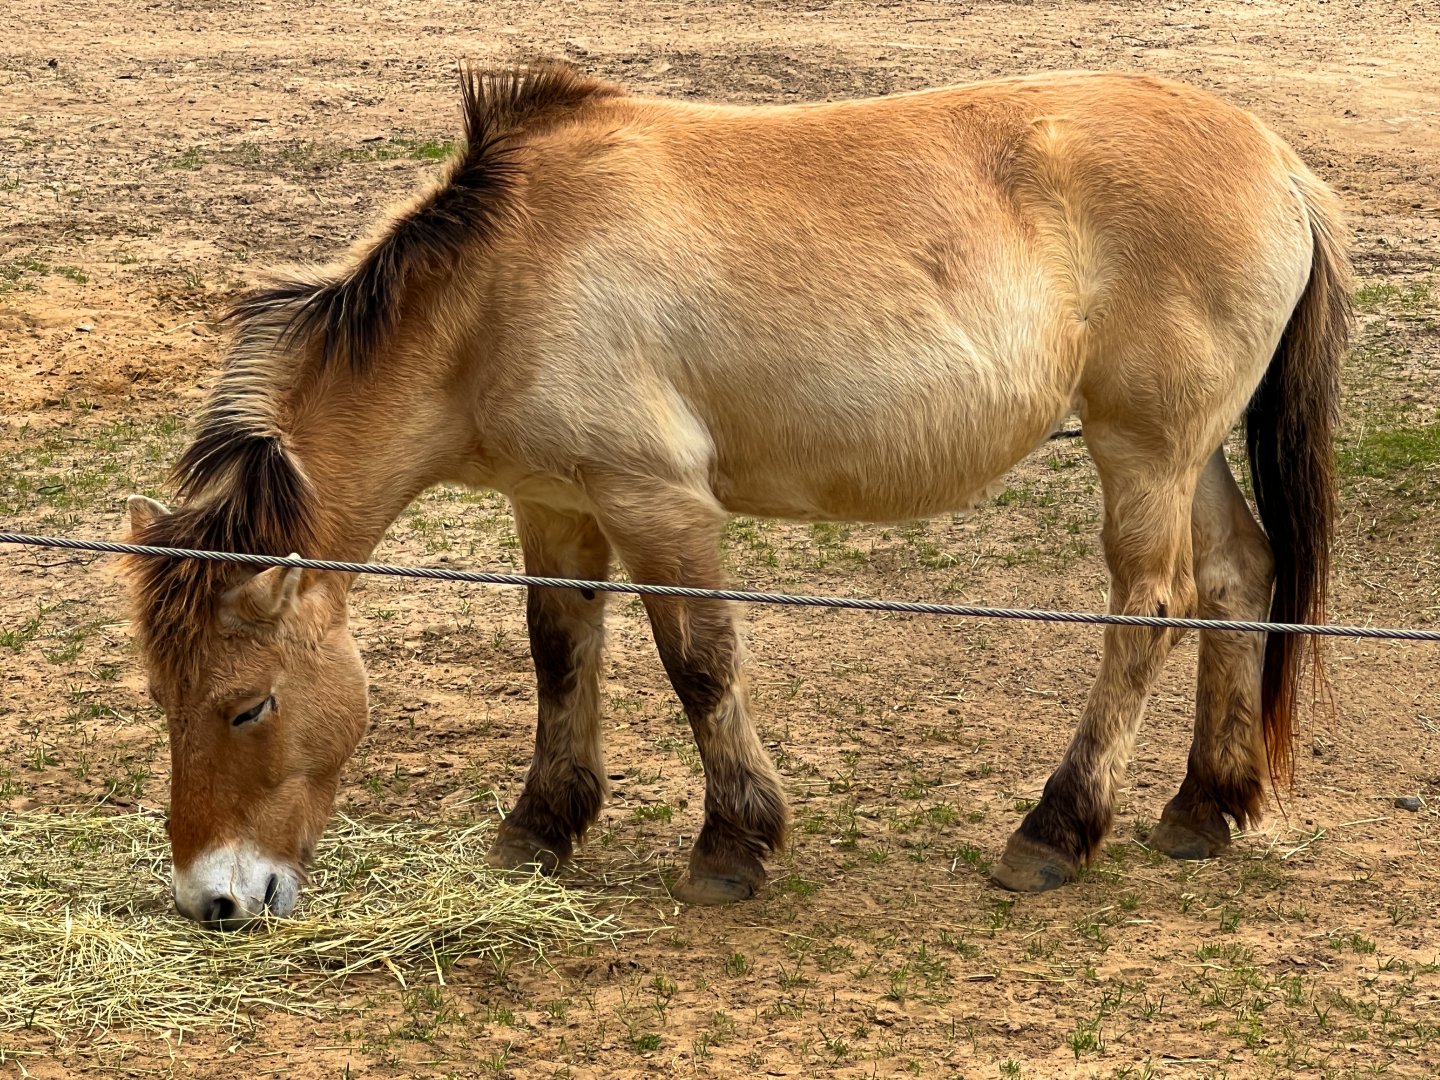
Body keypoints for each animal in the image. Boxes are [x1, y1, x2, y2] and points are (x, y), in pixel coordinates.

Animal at [121, 62, 1348, 928]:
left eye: (249, 705)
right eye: (163, 700)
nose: (214, 900)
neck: (500, 286)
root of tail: (1279, 161)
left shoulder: (658, 505)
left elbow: (699, 664)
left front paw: (733, 846)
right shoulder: (554, 507)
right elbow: (560, 654)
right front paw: (540, 829)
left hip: (1145, 450)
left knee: (1151, 608)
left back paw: (1057, 832)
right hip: (1185, 450)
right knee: (1236, 577)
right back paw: (1202, 807)